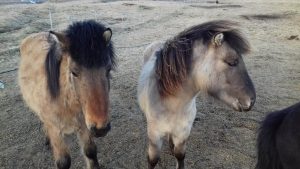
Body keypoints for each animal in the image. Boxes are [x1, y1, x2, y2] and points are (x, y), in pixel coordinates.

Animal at [18, 20, 115, 169]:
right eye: (74, 72)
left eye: (108, 69)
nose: (100, 128)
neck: (66, 102)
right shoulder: (56, 131)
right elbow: (63, 162)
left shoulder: (84, 125)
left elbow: (90, 152)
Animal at [138, 20, 255, 169]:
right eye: (231, 62)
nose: (251, 101)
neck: (172, 105)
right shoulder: (154, 136)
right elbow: (153, 160)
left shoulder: (183, 133)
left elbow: (179, 155)